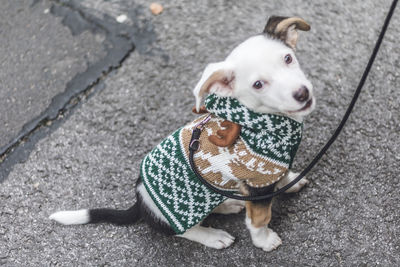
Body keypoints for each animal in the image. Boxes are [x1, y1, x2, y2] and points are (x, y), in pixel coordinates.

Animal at [49, 15, 316, 252]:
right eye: (258, 85)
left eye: (288, 58)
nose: (302, 93)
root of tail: (139, 201)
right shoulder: (256, 187)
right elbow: (259, 219)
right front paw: (264, 241)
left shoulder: (268, 170)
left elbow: (281, 175)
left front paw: (289, 182)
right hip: (178, 217)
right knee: (185, 231)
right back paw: (213, 235)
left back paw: (229, 203)